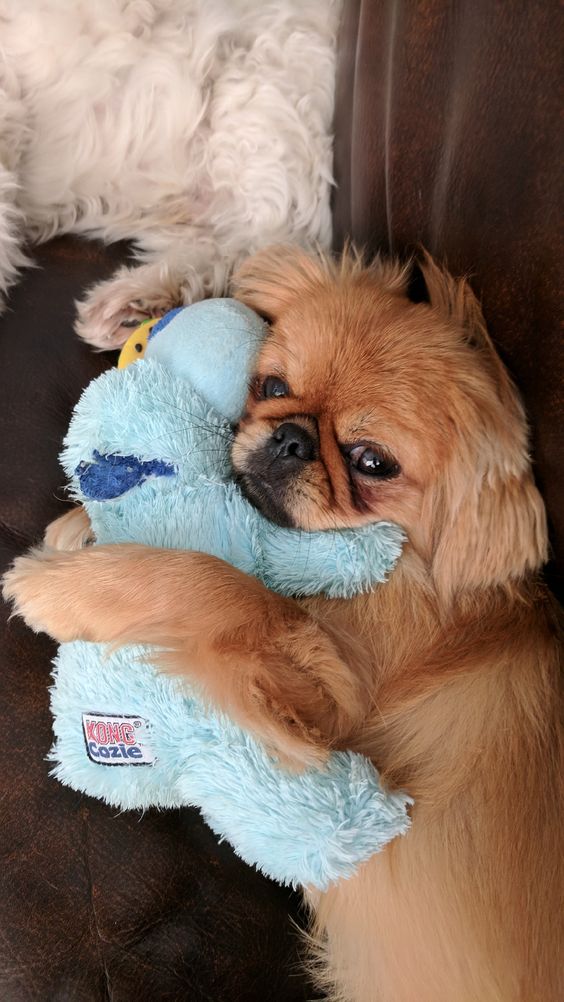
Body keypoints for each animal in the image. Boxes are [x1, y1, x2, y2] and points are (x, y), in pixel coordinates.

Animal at [3, 244, 560, 1002]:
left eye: (372, 462)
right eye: (270, 385)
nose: (291, 439)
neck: (410, 573)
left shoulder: (331, 702)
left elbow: (223, 585)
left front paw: (66, 586)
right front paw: (77, 528)